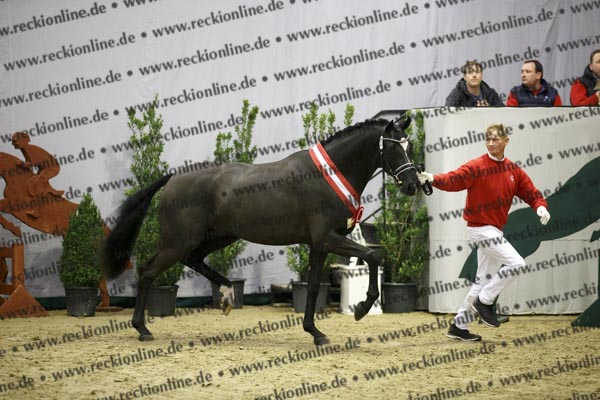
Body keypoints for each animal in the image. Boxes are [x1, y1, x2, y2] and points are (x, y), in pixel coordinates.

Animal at [102, 117, 422, 345]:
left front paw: (315, 333)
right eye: (395, 147)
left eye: (410, 147)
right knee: (148, 272)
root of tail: (172, 179)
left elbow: (314, 287)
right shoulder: (327, 239)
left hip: (218, 237)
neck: (328, 174)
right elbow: (373, 256)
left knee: (193, 260)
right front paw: (361, 308)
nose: (413, 185)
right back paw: (142, 329)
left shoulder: (319, 244)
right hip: (179, 241)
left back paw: (227, 296)